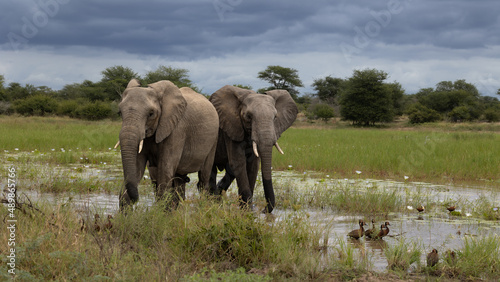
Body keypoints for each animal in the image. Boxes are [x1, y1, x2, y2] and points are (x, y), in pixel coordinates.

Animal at [118, 78, 220, 210]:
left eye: (151, 114)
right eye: (119, 113)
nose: (136, 198)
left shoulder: (177, 130)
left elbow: (165, 170)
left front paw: (163, 213)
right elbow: (136, 166)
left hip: (214, 140)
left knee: (203, 178)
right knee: (179, 179)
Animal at [210, 85, 298, 213]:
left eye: (275, 117)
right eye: (248, 116)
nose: (264, 210)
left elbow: (253, 165)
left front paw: (247, 210)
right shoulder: (232, 128)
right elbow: (238, 163)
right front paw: (248, 212)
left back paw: (216, 198)